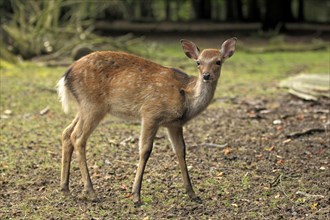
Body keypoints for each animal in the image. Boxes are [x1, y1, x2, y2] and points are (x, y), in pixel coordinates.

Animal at [57, 37, 237, 206]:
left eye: (218, 61)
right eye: (198, 62)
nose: (206, 76)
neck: (187, 99)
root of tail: (66, 75)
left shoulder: (174, 124)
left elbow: (181, 150)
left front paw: (193, 194)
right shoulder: (151, 113)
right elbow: (145, 150)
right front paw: (136, 195)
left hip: (84, 106)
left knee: (66, 132)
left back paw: (65, 188)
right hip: (93, 105)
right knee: (78, 137)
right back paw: (91, 192)